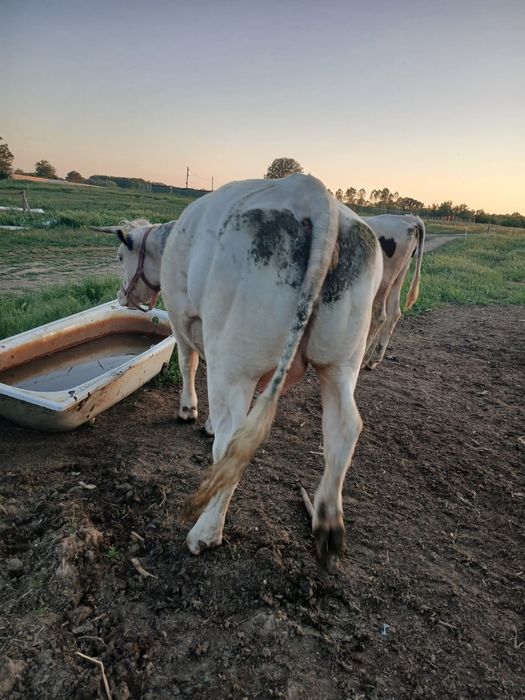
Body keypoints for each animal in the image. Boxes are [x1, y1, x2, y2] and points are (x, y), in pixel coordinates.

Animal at [95, 174, 383, 567]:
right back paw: (328, 526)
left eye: (119, 256)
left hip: (235, 363)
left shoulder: (184, 321)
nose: (122, 297)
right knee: (344, 428)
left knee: (230, 442)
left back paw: (204, 533)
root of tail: (311, 190)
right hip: (340, 362)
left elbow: (188, 363)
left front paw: (190, 411)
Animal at [361, 214, 425, 369]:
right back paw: (374, 360)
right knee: (394, 312)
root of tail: (409, 219)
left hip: (382, 279)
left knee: (379, 316)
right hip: (399, 276)